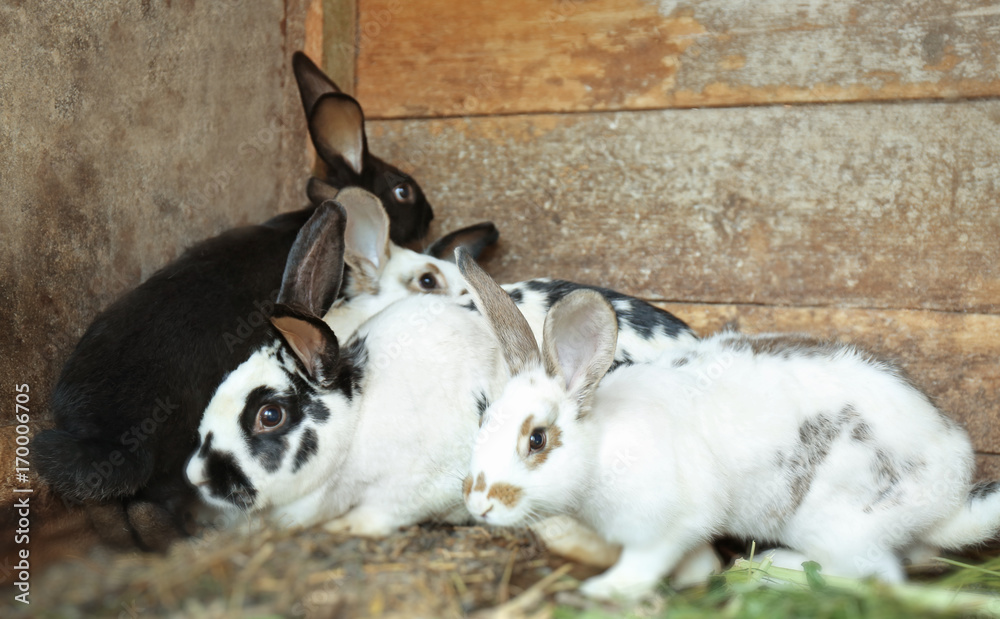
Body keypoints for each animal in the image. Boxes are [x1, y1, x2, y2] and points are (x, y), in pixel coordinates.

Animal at [457, 251, 1000, 600]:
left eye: (537, 439)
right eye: (485, 417)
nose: (479, 503)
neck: (603, 444)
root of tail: (949, 497)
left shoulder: (665, 525)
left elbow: (643, 564)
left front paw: (605, 590)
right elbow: (695, 562)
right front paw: (694, 577)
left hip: (836, 522)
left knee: (876, 576)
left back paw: (774, 566)